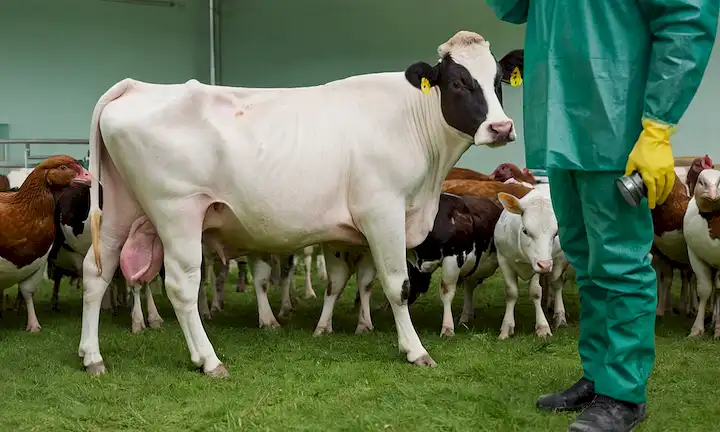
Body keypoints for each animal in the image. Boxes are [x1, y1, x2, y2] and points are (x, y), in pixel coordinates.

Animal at [78, 30, 524, 377]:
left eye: (498, 80)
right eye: (459, 82)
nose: (501, 127)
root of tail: (137, 86)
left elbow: (350, 283)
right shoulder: (383, 212)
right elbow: (398, 286)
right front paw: (415, 351)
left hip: (120, 208)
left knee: (96, 272)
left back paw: (92, 356)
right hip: (177, 212)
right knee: (181, 285)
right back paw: (208, 360)